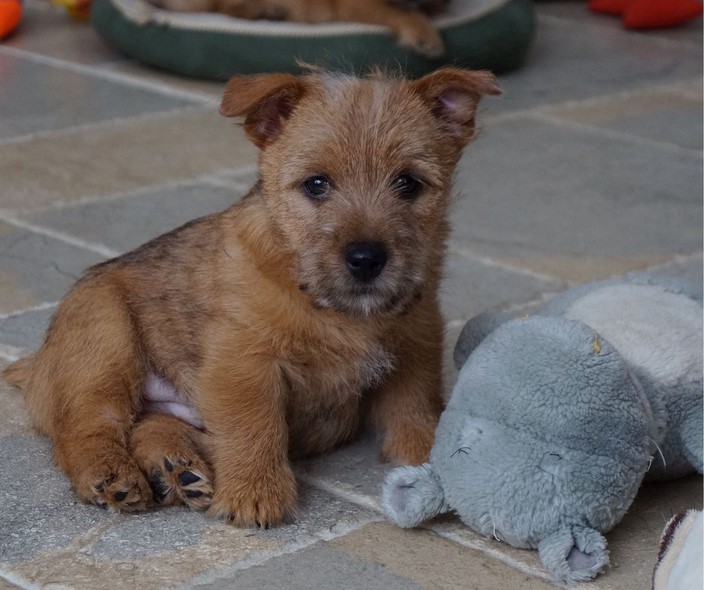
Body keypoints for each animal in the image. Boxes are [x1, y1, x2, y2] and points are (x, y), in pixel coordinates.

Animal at [5, 67, 500, 528]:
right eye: (316, 184)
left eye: (409, 183)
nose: (366, 259)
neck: (336, 309)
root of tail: (37, 363)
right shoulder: (244, 361)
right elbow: (254, 426)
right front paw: (255, 494)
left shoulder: (417, 343)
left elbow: (414, 409)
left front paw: (431, 460)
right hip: (105, 338)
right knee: (85, 426)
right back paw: (112, 475)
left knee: (152, 422)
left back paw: (175, 467)